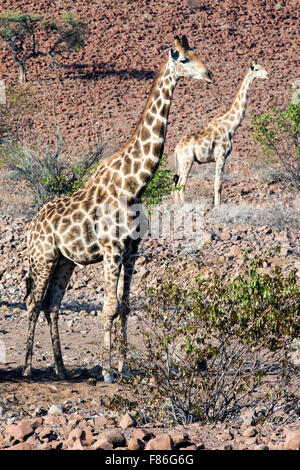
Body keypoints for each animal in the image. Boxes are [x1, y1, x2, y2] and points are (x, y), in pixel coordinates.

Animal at [24, 35, 214, 382]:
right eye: (182, 58)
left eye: (197, 53)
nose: (209, 75)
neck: (134, 184)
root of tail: (33, 224)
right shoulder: (111, 248)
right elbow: (109, 308)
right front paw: (108, 372)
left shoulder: (132, 250)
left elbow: (125, 307)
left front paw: (124, 369)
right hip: (42, 256)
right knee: (33, 302)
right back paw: (29, 368)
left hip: (65, 261)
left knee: (51, 304)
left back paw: (61, 369)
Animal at [173, 59, 270, 207]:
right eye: (257, 69)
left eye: (263, 66)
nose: (268, 75)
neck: (230, 127)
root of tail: (177, 149)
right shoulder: (221, 157)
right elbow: (218, 185)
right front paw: (217, 207)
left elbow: (219, 185)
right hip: (187, 161)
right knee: (181, 184)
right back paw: (183, 206)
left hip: (181, 163)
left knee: (175, 184)